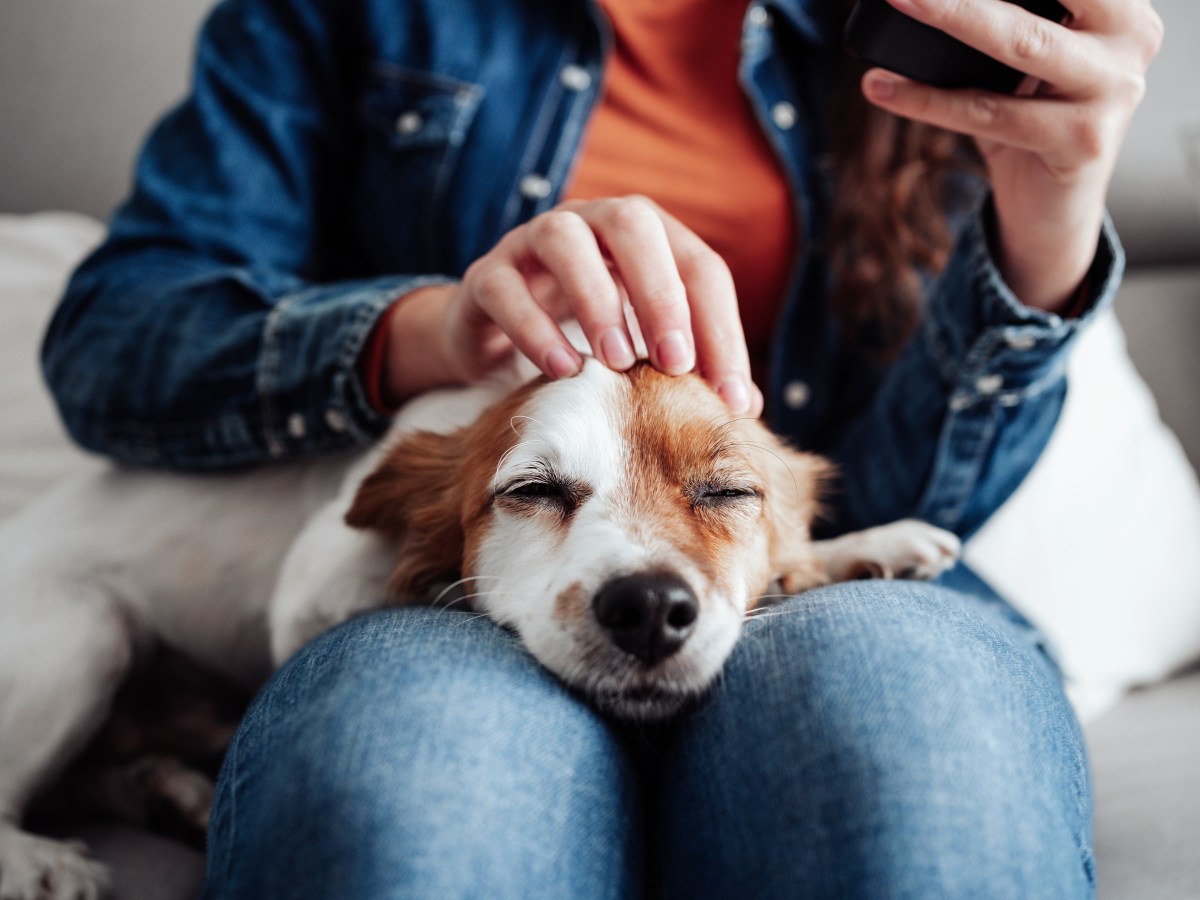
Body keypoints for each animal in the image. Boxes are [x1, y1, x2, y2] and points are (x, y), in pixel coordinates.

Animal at [0, 355, 960, 897]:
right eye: (532, 490)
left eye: (727, 493)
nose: (650, 606)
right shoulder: (306, 596)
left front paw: (863, 545)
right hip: (88, 632)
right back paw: (41, 860)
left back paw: (170, 791)